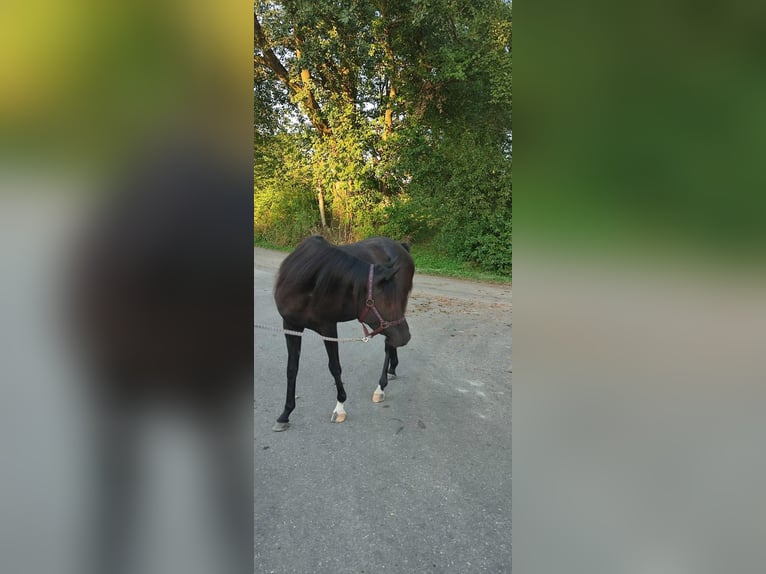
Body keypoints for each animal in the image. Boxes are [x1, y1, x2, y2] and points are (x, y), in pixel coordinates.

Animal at [272, 235, 416, 432]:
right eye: (386, 301)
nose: (406, 337)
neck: (307, 285)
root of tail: (400, 247)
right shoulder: (291, 327)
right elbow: (292, 369)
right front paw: (285, 414)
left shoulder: (328, 327)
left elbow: (334, 366)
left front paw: (339, 407)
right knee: (390, 342)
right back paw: (392, 369)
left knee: (388, 344)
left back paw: (380, 387)